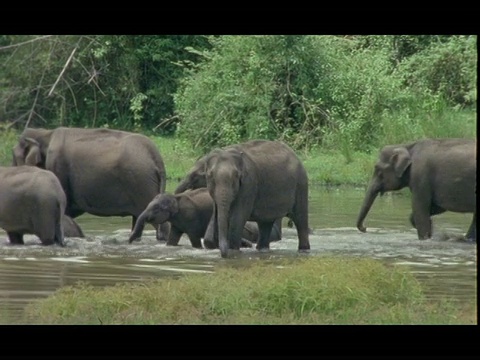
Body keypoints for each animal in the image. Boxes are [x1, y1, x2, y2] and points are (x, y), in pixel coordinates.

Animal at [129, 187, 284, 249]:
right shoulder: (177, 222)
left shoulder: (190, 216)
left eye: (156, 209)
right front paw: (170, 246)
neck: (175, 198)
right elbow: (173, 239)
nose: (130, 242)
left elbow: (194, 237)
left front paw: (198, 248)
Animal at [176, 139, 312, 258]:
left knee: (300, 218)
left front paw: (233, 251)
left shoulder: (249, 184)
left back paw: (304, 250)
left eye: (236, 178)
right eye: (210, 177)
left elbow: (238, 218)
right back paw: (262, 250)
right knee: (265, 223)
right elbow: (217, 215)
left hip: (301, 184)